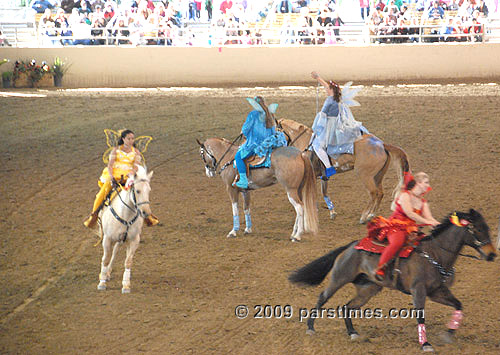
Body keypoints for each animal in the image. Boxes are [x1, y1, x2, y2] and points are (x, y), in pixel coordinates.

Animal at [96, 165, 153, 294]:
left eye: (149, 190)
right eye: (137, 191)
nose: (146, 212)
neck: (125, 215)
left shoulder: (134, 240)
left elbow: (128, 262)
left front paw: (126, 285)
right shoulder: (107, 239)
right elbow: (105, 259)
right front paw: (102, 283)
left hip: (121, 239)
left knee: (115, 251)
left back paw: (108, 272)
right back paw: (104, 274)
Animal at [278, 119, 410, 225]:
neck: (306, 144)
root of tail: (381, 144)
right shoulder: (323, 177)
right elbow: (324, 192)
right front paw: (332, 212)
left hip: (365, 176)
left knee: (374, 193)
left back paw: (364, 217)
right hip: (378, 176)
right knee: (380, 193)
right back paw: (371, 215)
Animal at [290, 210, 496, 352]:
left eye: (487, 228)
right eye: (477, 229)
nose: (492, 254)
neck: (435, 254)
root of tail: (351, 246)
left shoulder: (437, 292)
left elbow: (458, 305)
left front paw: (448, 334)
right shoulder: (418, 290)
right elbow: (420, 316)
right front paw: (426, 344)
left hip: (368, 289)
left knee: (347, 306)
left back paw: (353, 334)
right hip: (339, 278)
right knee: (322, 297)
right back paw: (310, 328)